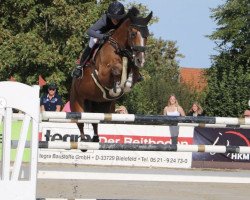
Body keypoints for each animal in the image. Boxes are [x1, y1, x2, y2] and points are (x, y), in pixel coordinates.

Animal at [70, 7, 152, 142]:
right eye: (133, 34)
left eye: (147, 35)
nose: (140, 60)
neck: (120, 50)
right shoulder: (102, 74)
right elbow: (116, 70)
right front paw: (117, 87)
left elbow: (133, 75)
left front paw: (126, 83)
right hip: (77, 102)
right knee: (80, 123)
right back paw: (83, 141)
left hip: (102, 106)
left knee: (95, 122)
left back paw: (96, 139)